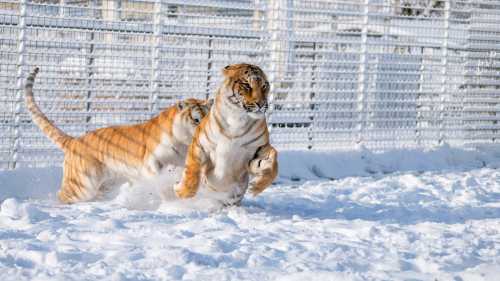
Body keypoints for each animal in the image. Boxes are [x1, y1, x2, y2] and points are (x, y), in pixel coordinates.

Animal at [24, 68, 212, 203]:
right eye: (196, 119)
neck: (183, 142)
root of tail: (74, 141)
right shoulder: (151, 163)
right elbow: (160, 177)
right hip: (83, 184)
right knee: (62, 195)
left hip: (105, 182)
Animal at [175, 63, 280, 203]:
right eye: (247, 85)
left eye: (264, 85)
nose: (261, 104)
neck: (238, 119)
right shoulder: (200, 143)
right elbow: (193, 168)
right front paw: (183, 192)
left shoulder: (259, 148)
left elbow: (273, 164)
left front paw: (257, 187)